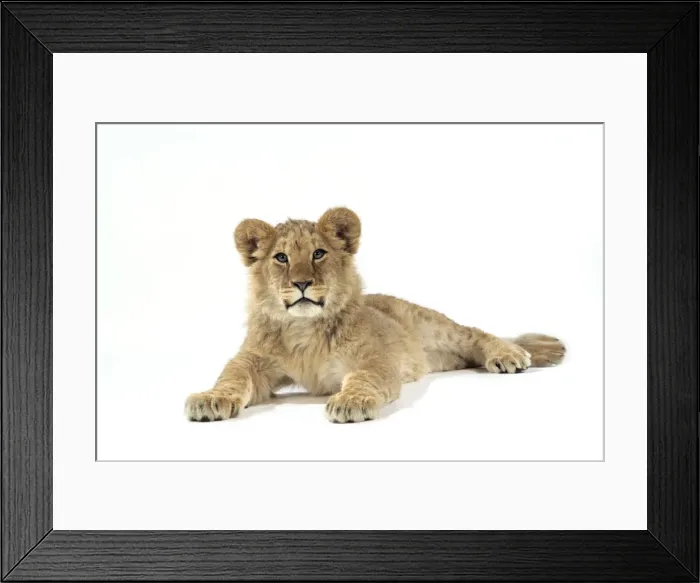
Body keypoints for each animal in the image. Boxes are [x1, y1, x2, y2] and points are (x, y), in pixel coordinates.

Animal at [185, 207, 566, 423]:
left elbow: (363, 378)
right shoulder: (252, 360)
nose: (302, 282)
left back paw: (510, 354)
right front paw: (210, 399)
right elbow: (232, 378)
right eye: (281, 258)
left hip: (435, 325)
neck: (303, 330)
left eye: (318, 253)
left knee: (475, 333)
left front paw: (350, 402)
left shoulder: (374, 357)